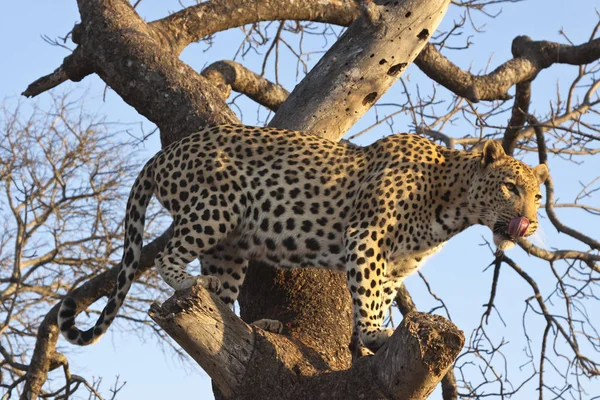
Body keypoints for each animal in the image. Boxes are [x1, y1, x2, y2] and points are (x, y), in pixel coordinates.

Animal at [57, 125, 548, 354]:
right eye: (509, 187)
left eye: (538, 195)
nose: (527, 222)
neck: (452, 203)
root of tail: (162, 154)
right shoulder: (366, 237)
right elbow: (366, 295)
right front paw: (374, 335)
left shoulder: (398, 264)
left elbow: (380, 294)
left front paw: (363, 343)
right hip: (219, 204)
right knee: (170, 254)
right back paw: (189, 284)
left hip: (230, 245)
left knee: (223, 289)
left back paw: (253, 323)